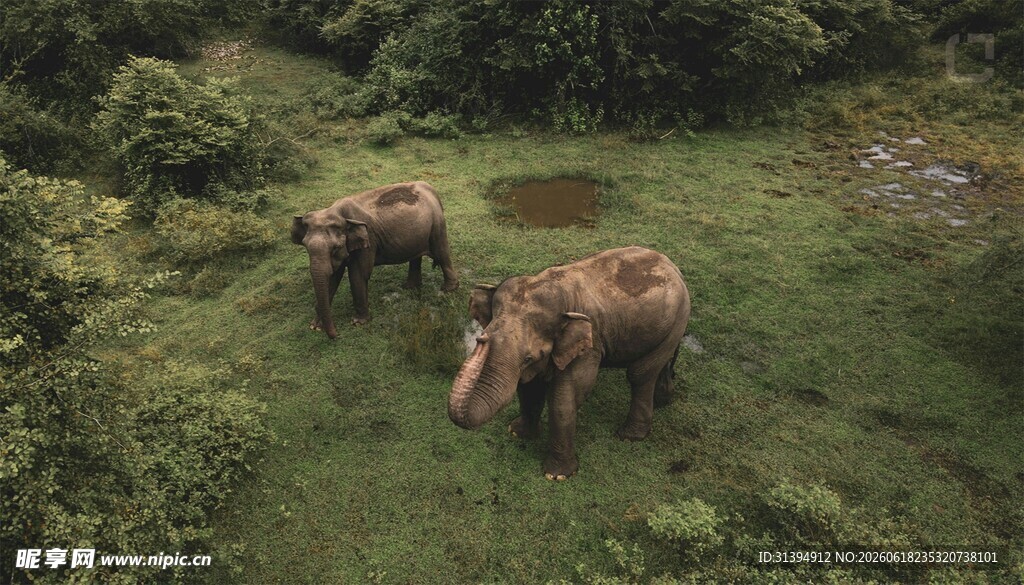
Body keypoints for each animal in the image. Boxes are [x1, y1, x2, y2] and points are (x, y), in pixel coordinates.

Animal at [291, 181, 458, 338]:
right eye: (306, 246)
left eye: (335, 247)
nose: (336, 335)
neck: (336, 212)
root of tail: (431, 188)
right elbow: (333, 277)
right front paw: (315, 326)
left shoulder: (368, 241)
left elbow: (358, 274)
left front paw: (358, 323)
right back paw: (410, 287)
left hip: (437, 225)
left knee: (442, 253)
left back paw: (448, 290)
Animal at [448, 246, 691, 480]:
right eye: (484, 334)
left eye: (528, 358)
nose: (481, 340)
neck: (556, 286)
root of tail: (674, 267)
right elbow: (529, 388)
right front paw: (517, 432)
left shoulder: (589, 346)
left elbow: (565, 399)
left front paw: (557, 475)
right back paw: (662, 401)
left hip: (678, 316)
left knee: (640, 373)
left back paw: (629, 436)